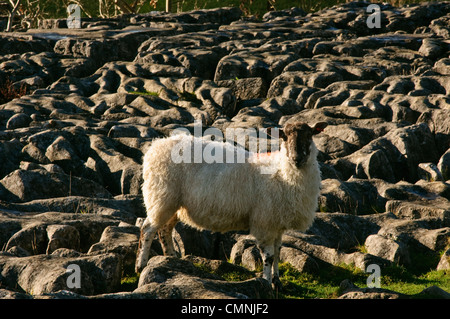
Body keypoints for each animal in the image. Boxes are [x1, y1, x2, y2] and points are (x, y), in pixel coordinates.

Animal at [135, 121, 328, 288]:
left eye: (309, 135)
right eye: (285, 137)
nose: (297, 158)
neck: (281, 172)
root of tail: (156, 147)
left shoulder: (277, 223)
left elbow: (278, 251)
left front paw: (277, 281)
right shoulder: (264, 222)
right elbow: (268, 256)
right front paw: (266, 282)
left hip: (173, 204)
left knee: (164, 230)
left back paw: (171, 257)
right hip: (161, 196)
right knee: (148, 229)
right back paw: (141, 265)